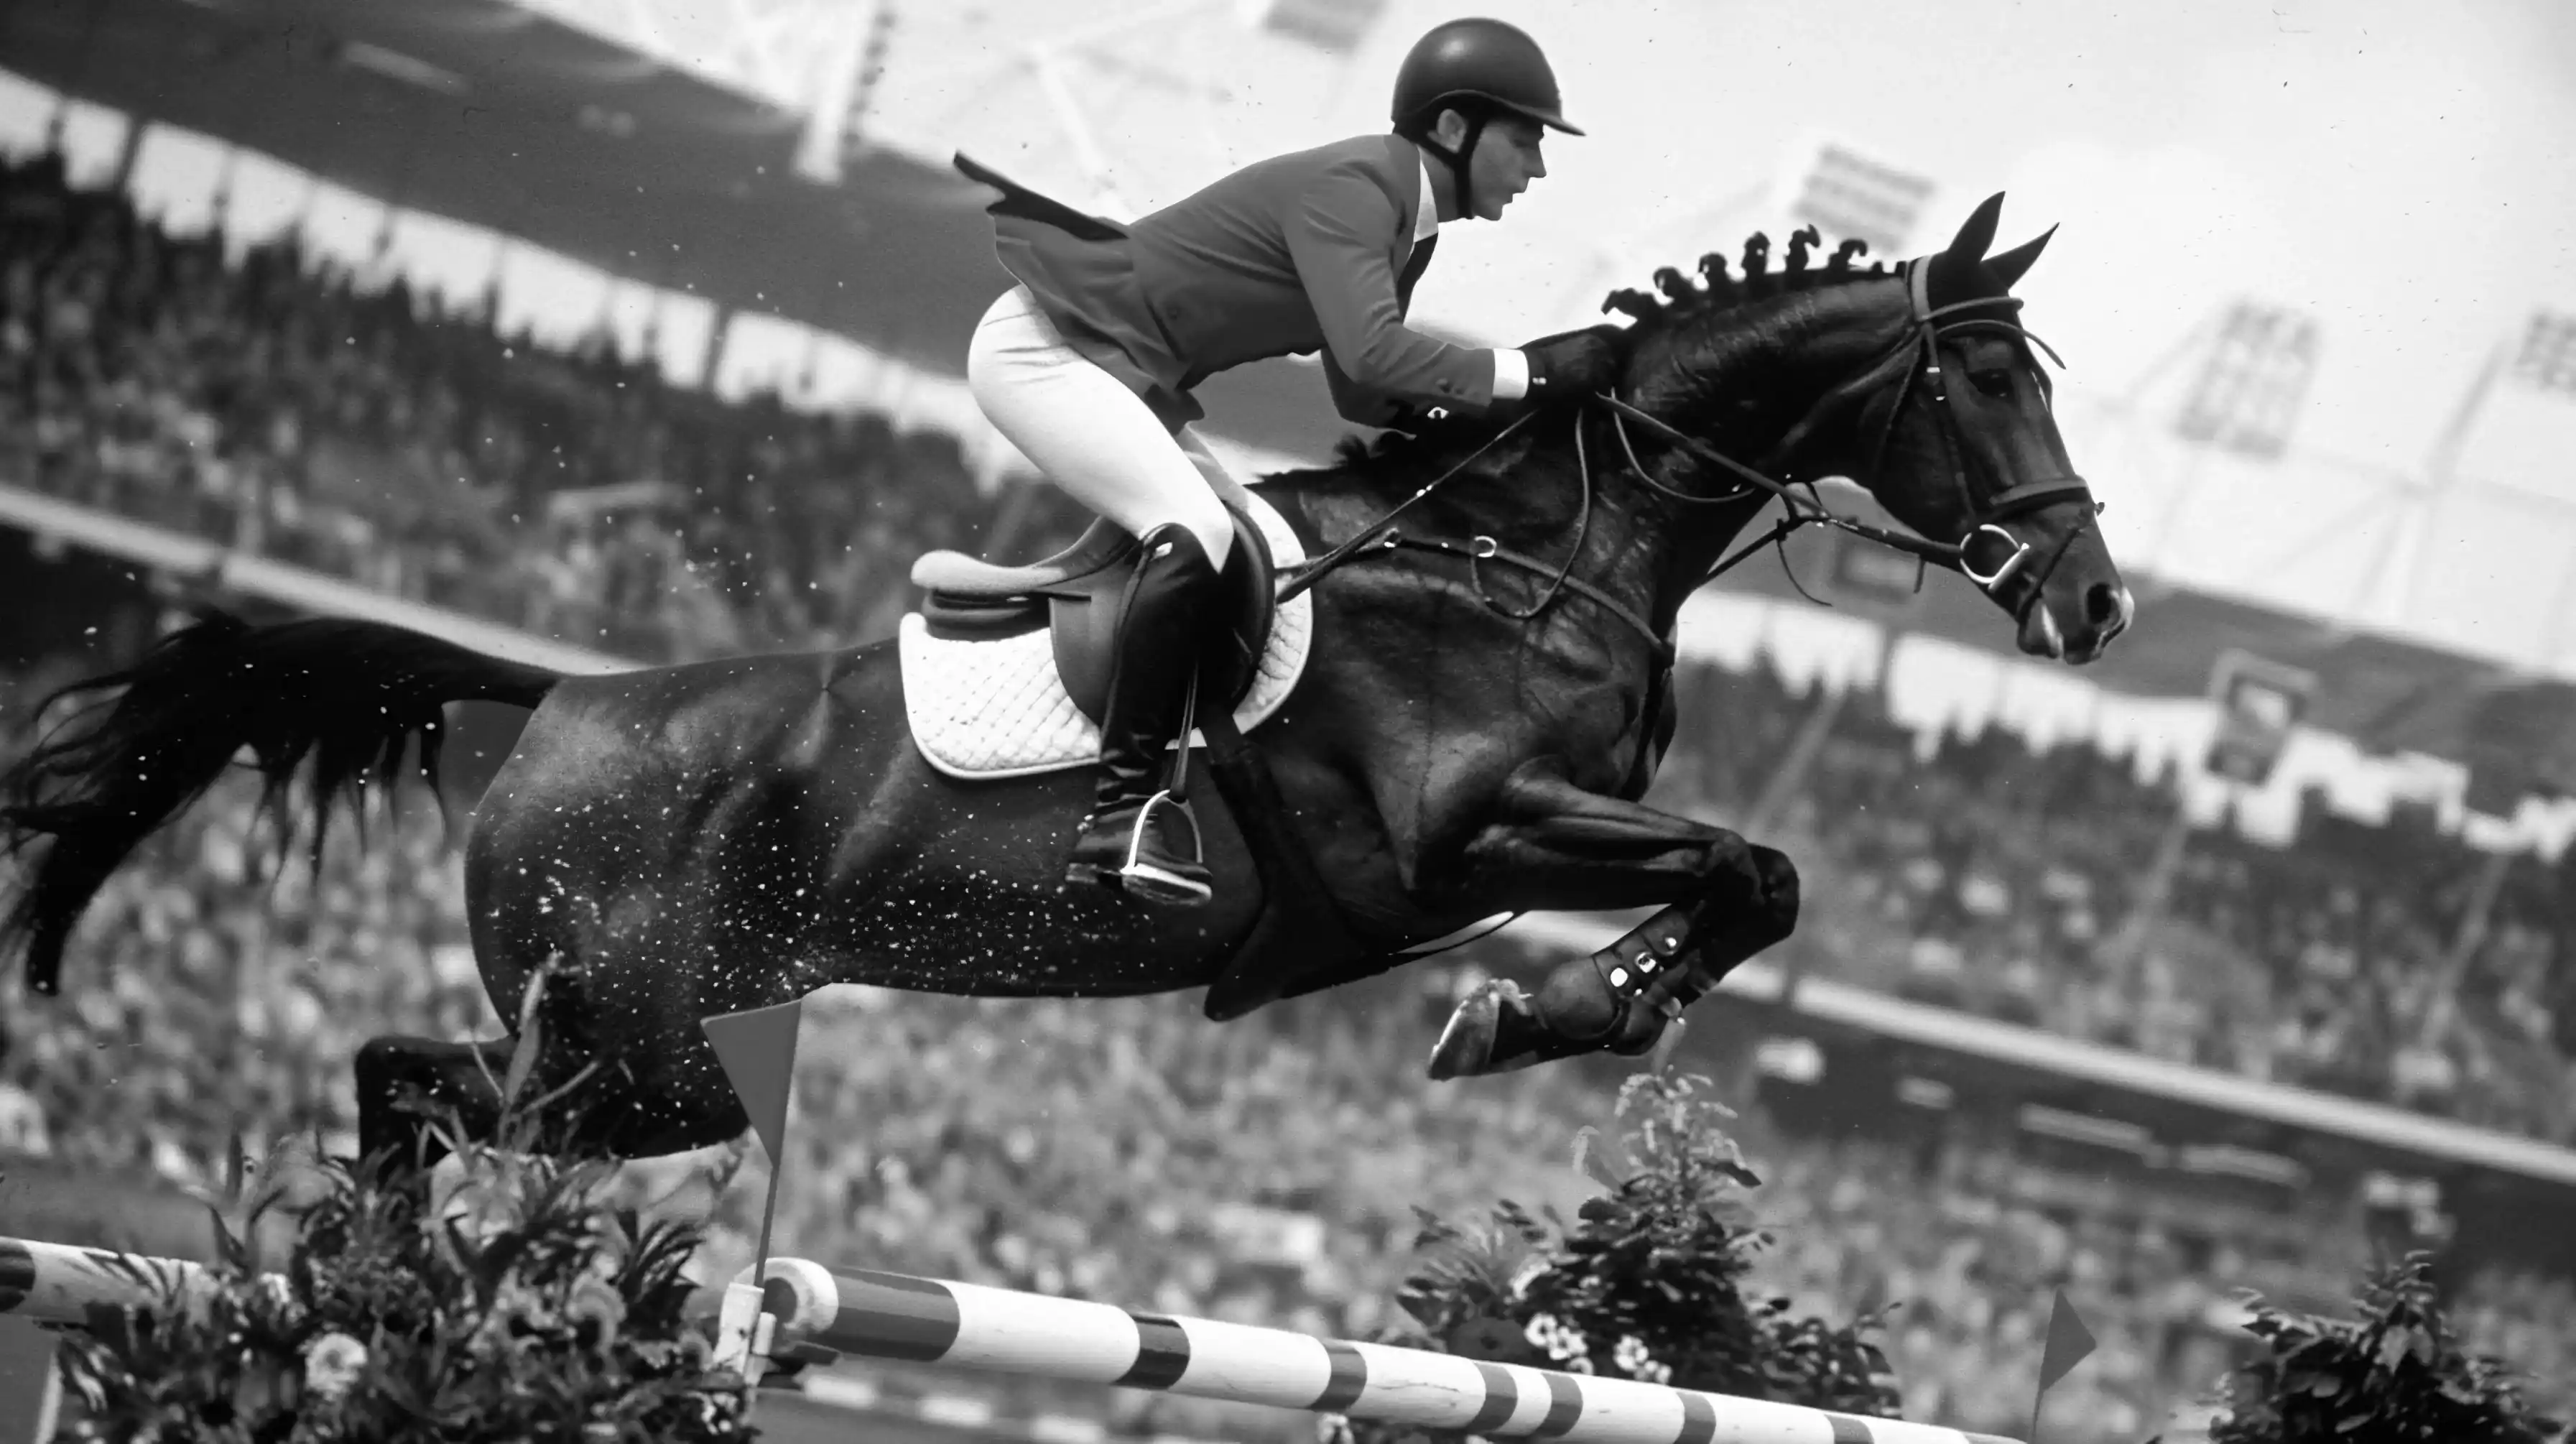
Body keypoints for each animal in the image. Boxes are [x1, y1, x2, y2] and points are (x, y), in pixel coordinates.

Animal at [0, 194, 2131, 1174]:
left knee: (404, 1088)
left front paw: (1558, 1010)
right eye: (1980, 375)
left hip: (651, 1052)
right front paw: (1544, 1011)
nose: (2096, 603)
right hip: (638, 1049)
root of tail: (563, 700)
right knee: (428, 1091)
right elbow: (1746, 867)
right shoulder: (1455, 834)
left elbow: (1754, 879)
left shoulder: (1490, 854)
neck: (1540, 548)